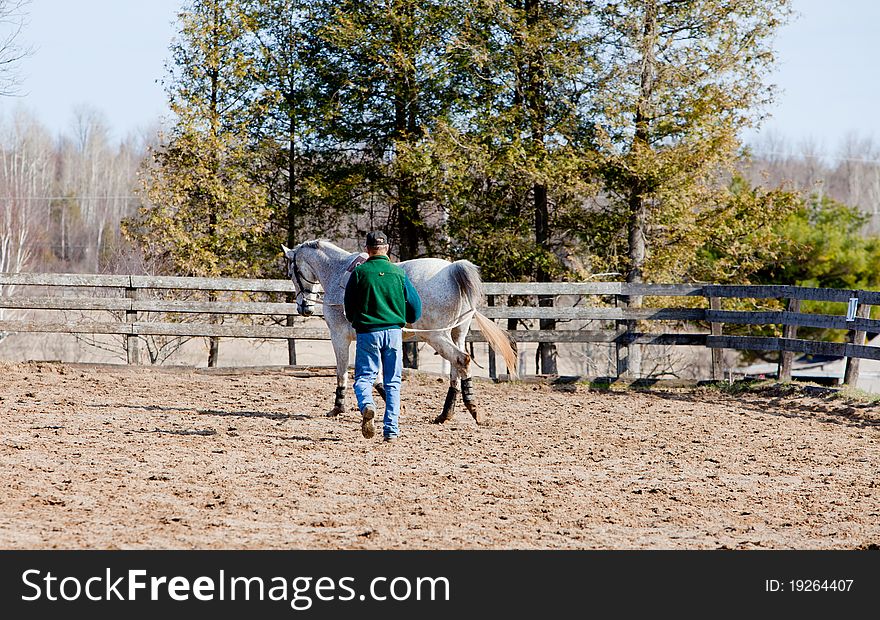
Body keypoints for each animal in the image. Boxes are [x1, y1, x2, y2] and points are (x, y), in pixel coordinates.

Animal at [282, 240, 516, 424]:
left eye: (292, 273)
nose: (304, 308)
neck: (338, 274)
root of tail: (452, 270)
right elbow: (375, 375)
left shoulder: (340, 337)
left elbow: (343, 371)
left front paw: (338, 407)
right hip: (457, 333)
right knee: (456, 368)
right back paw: (446, 413)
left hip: (436, 336)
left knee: (462, 360)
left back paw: (472, 409)